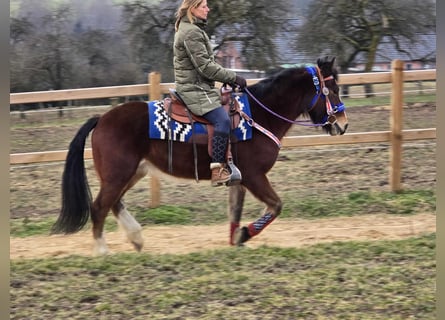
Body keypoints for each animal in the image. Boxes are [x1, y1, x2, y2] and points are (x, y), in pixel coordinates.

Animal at [51, 55, 346, 255]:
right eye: (332, 90)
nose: (342, 124)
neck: (259, 115)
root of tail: (102, 119)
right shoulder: (254, 176)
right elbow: (275, 206)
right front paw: (244, 235)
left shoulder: (239, 179)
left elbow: (235, 211)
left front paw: (235, 239)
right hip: (118, 174)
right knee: (100, 206)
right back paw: (102, 250)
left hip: (132, 172)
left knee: (114, 203)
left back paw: (136, 238)